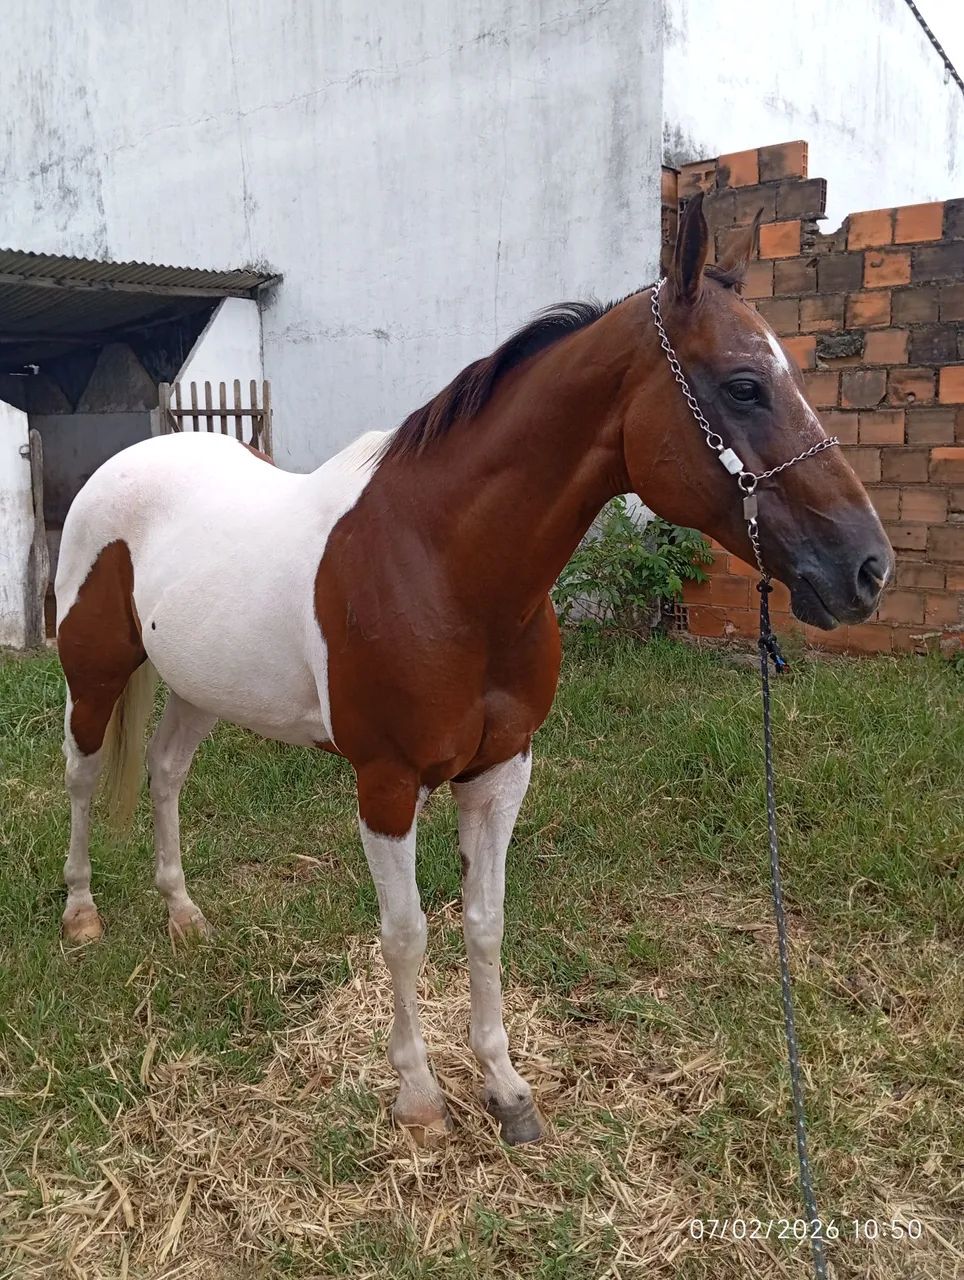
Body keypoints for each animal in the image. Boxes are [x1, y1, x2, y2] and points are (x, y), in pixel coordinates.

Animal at [54, 197, 892, 1145]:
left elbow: (485, 924)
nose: (867, 567)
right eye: (745, 385)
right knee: (82, 776)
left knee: (164, 776)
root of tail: (123, 465)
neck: (446, 567)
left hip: (200, 685)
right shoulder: (386, 784)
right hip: (93, 677)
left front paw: (506, 1088)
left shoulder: (500, 770)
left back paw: (184, 916)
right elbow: (407, 933)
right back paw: (80, 913)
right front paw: (419, 1097)